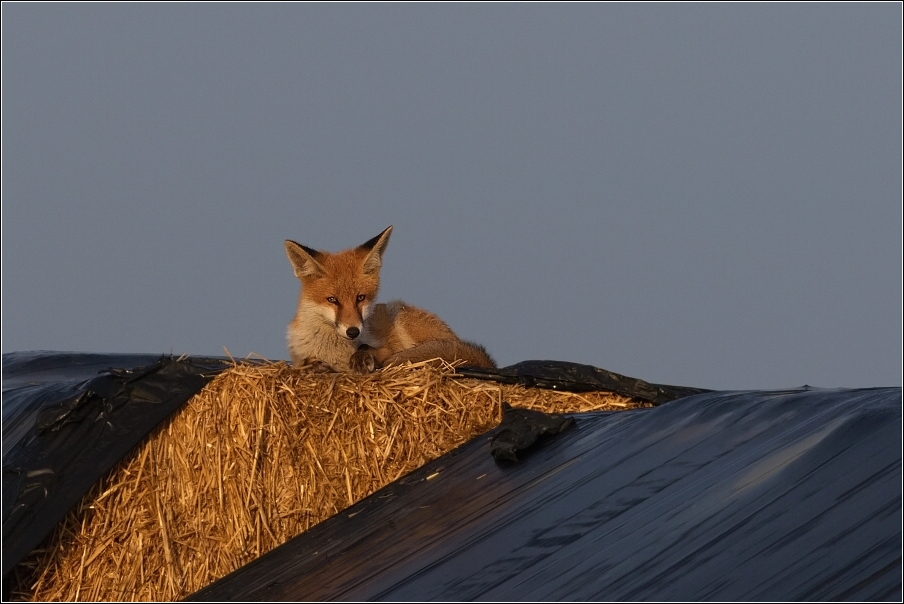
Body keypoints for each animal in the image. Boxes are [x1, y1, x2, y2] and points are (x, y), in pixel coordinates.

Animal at [282, 226, 494, 372]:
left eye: (360, 298)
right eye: (332, 299)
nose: (353, 331)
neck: (334, 350)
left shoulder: (387, 348)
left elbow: (372, 349)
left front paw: (363, 356)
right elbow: (301, 363)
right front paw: (311, 365)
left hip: (400, 314)